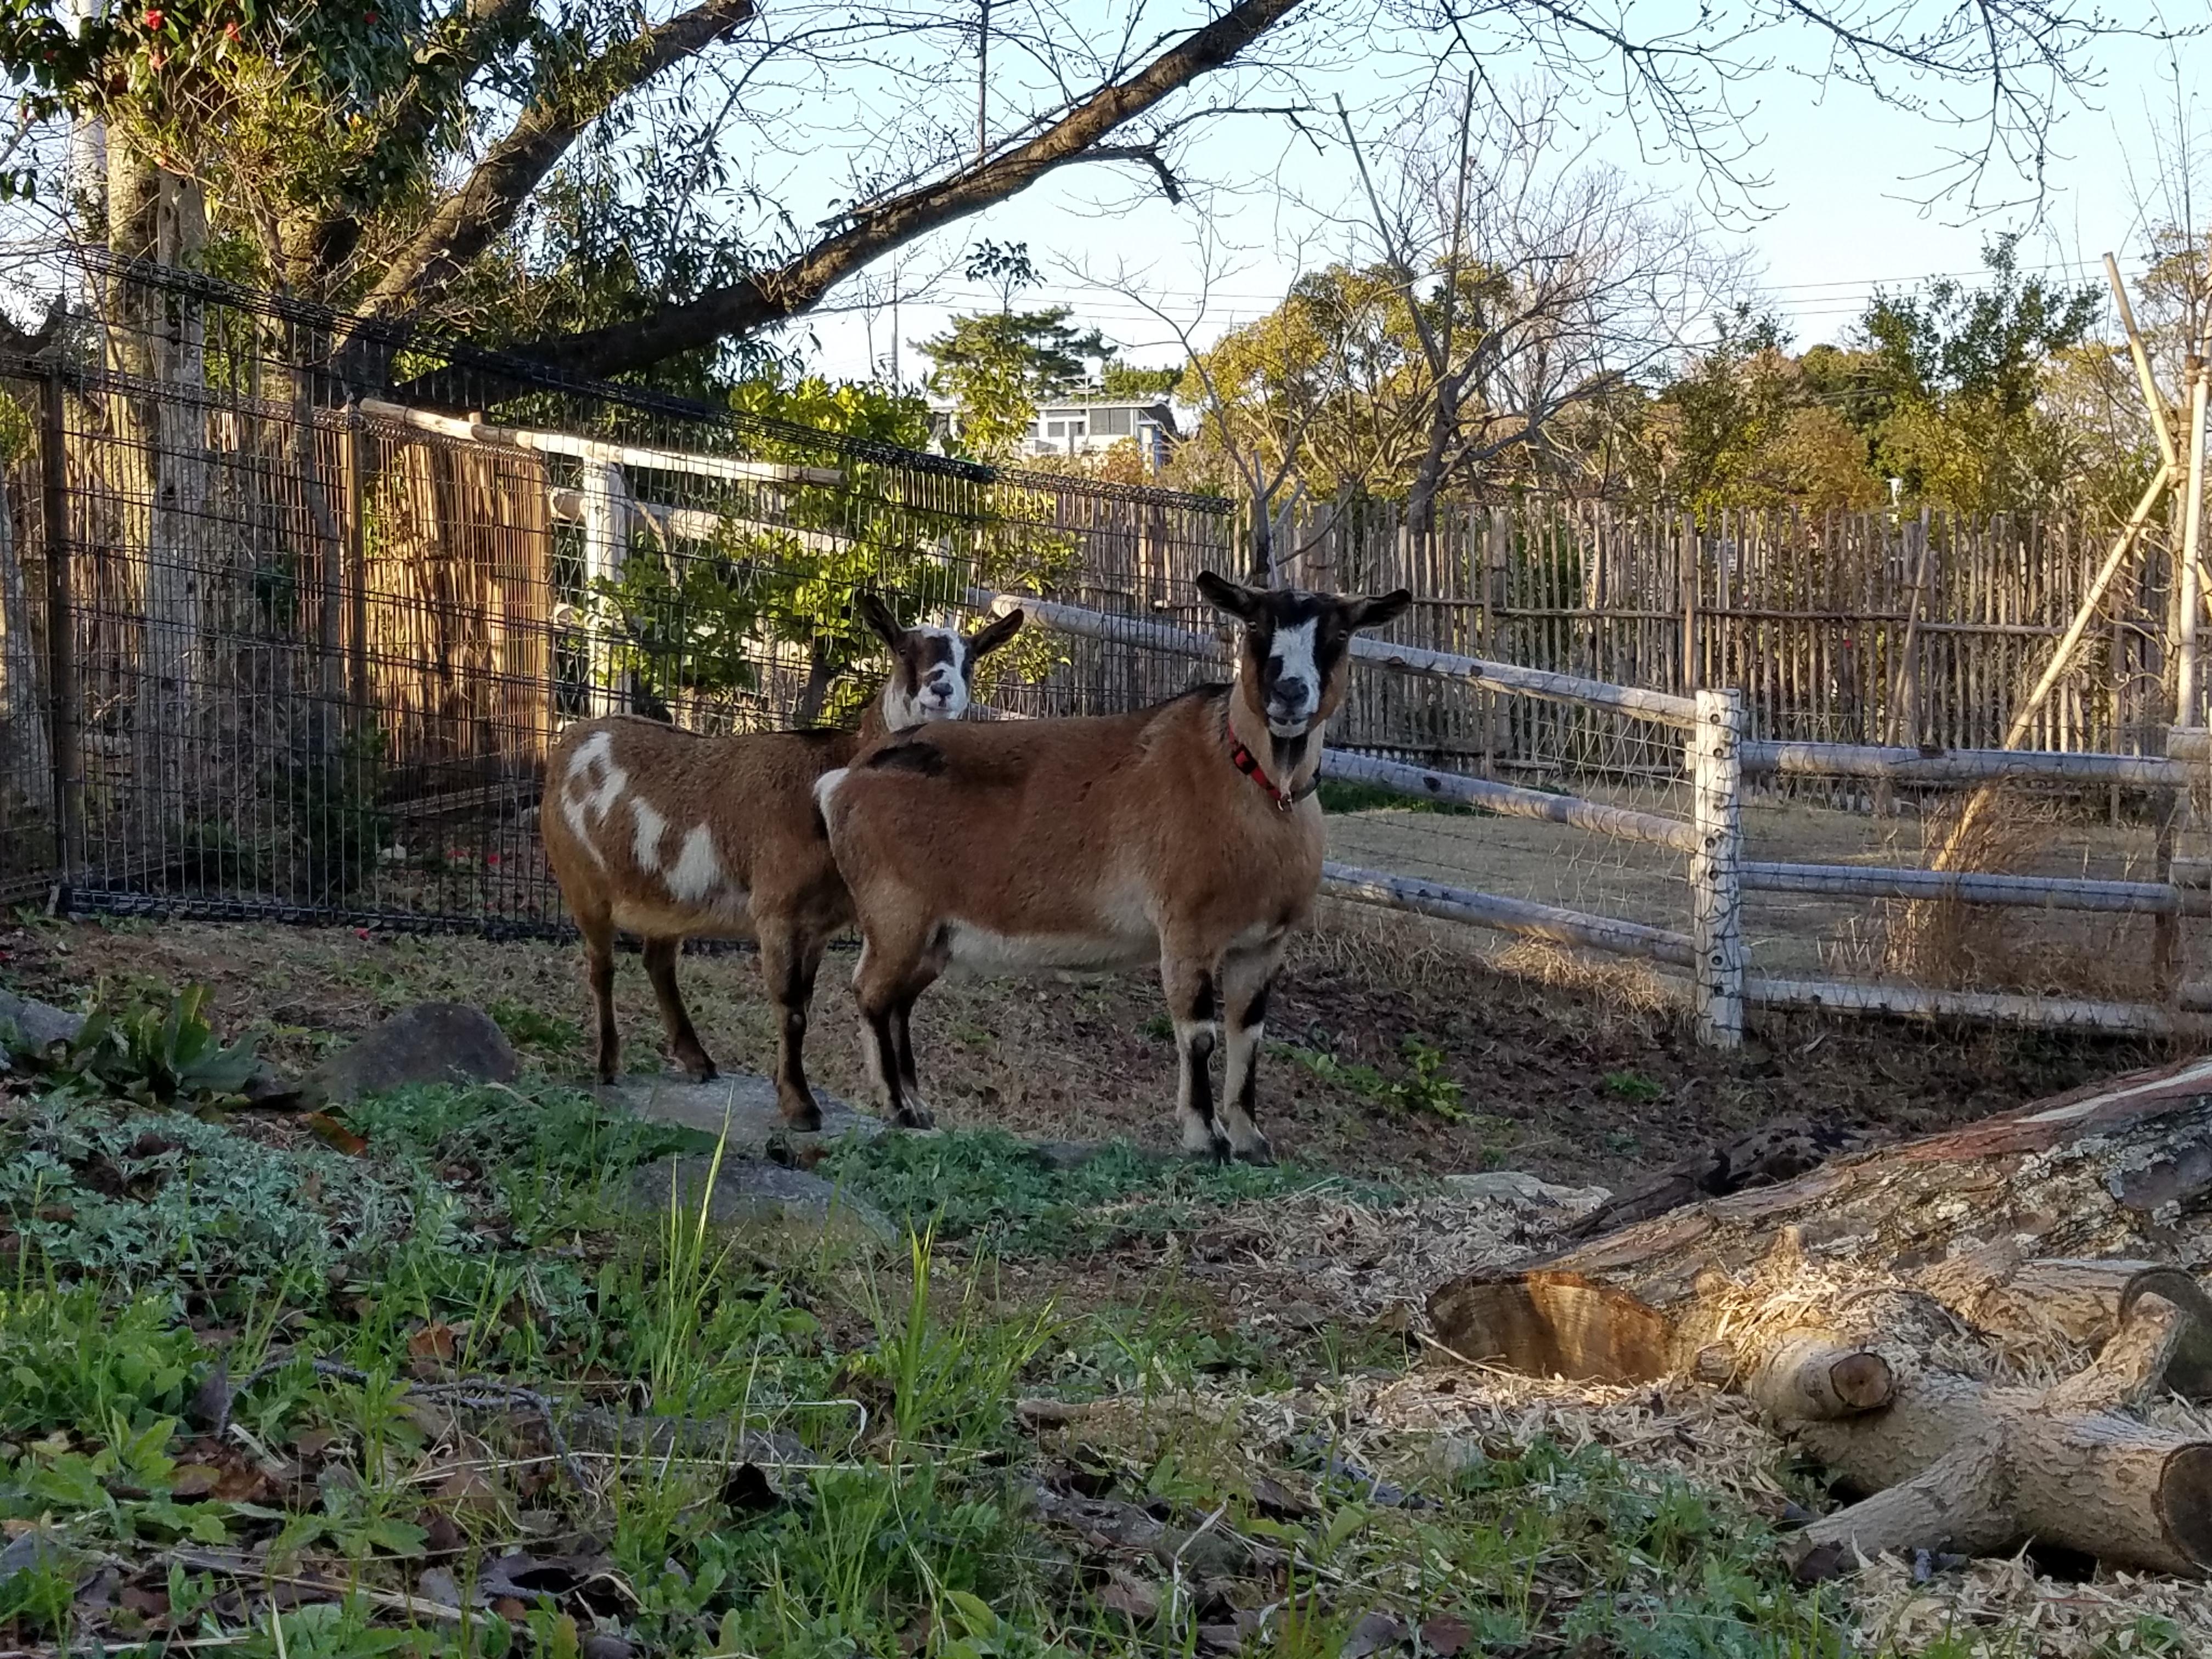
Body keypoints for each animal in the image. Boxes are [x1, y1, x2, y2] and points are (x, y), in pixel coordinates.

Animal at [539, 597, 1022, 1132]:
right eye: (901, 648)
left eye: (971, 657)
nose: (942, 689)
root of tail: (570, 740)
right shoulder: (777, 911)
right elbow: (791, 1007)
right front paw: (800, 1107)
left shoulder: (817, 923)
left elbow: (805, 1002)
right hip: (581, 880)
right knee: (601, 965)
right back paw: (608, 1064)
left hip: (666, 896)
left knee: (658, 961)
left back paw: (697, 1060)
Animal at [818, 579, 1415, 1159]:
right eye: (1253, 625)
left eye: (1340, 634)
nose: (1290, 692)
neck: (1252, 780)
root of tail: (845, 779)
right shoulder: (1188, 931)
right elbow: (1200, 1033)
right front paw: (1206, 1136)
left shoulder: (1263, 945)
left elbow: (1249, 1036)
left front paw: (1251, 1140)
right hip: (897, 914)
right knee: (872, 994)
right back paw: (898, 1108)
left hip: (933, 936)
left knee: (897, 1003)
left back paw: (918, 1108)